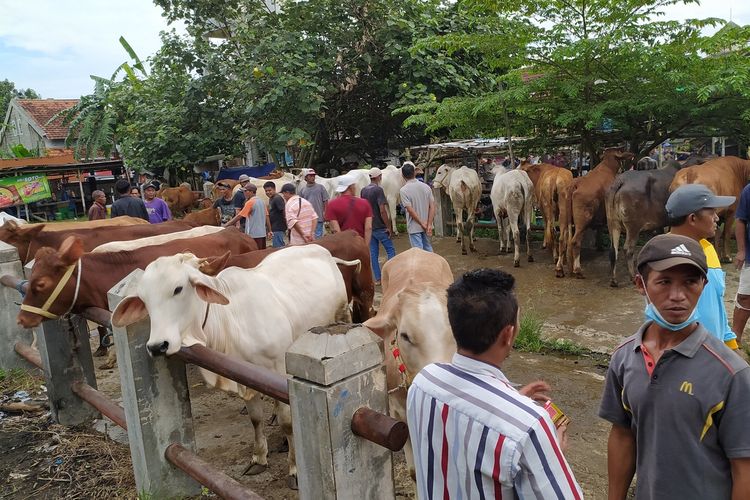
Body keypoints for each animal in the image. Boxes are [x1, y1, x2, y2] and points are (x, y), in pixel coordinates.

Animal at [111, 245, 362, 488]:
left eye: (178, 289)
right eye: (144, 299)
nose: (157, 346)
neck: (230, 319)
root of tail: (324, 252)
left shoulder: (280, 371)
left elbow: (288, 422)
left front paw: (294, 469)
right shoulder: (246, 378)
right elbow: (255, 419)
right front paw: (259, 458)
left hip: (341, 315)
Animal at [560, 150, 636, 280]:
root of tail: (575, 184)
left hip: (564, 219)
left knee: (563, 239)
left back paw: (561, 269)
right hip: (583, 220)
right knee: (575, 241)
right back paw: (578, 270)